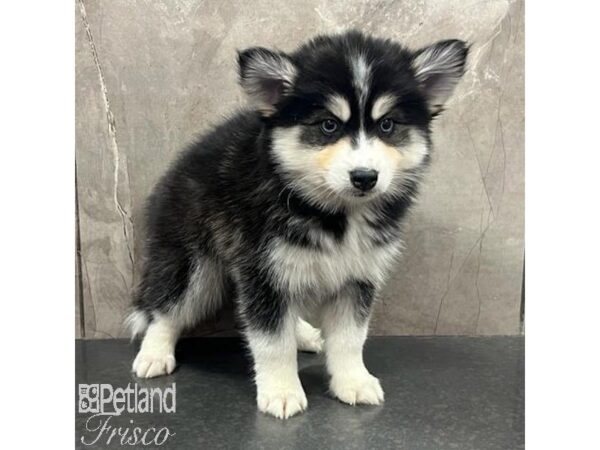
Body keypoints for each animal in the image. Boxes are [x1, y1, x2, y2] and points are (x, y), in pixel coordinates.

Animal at [127, 30, 468, 418]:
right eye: (328, 125)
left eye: (387, 125)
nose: (365, 177)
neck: (337, 214)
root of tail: (175, 168)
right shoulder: (264, 272)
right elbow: (273, 341)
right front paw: (282, 390)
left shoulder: (358, 275)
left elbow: (350, 338)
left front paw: (353, 380)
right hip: (193, 263)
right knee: (166, 308)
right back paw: (155, 352)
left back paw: (303, 333)